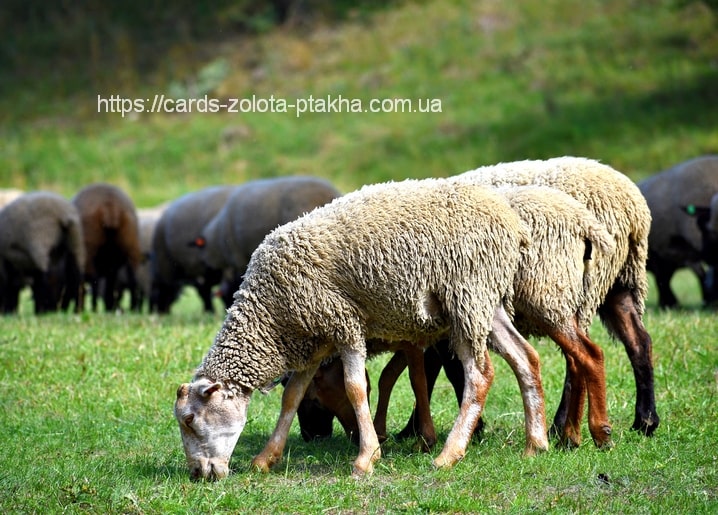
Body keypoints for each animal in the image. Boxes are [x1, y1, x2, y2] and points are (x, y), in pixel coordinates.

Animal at [72, 183, 142, 312]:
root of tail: (110, 205)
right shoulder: (112, 267)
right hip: (131, 244)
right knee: (134, 279)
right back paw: (132, 308)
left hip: (90, 249)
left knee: (92, 279)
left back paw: (93, 308)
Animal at [456, 156, 659, 438]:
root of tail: (633, 207)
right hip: (619, 282)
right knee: (638, 341)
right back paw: (645, 421)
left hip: (568, 289)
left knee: (578, 358)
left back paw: (561, 427)